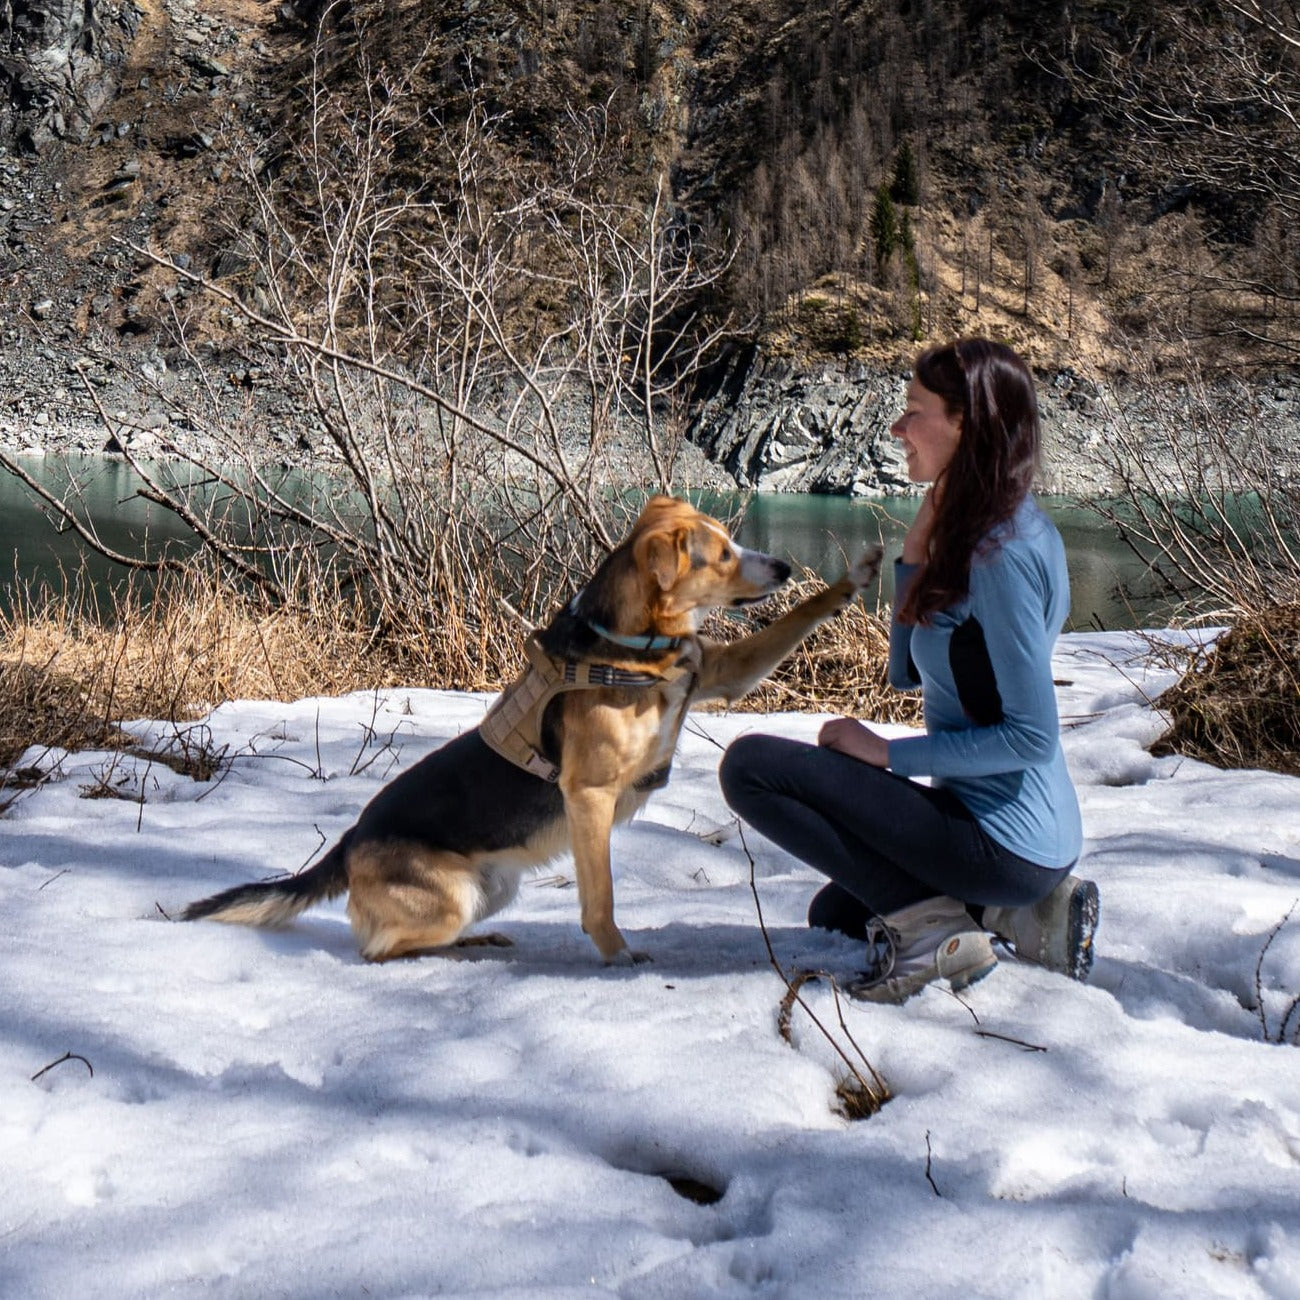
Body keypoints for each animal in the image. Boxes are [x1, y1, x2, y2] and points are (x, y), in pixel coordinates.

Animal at [183, 496, 883, 967]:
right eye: (724, 556)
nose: (786, 567)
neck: (635, 648)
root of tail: (351, 840)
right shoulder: (589, 797)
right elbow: (600, 896)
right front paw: (616, 953)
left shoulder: (720, 672)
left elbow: (795, 621)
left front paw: (852, 580)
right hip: (453, 896)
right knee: (382, 950)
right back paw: (459, 951)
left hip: (494, 886)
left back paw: (478, 942)